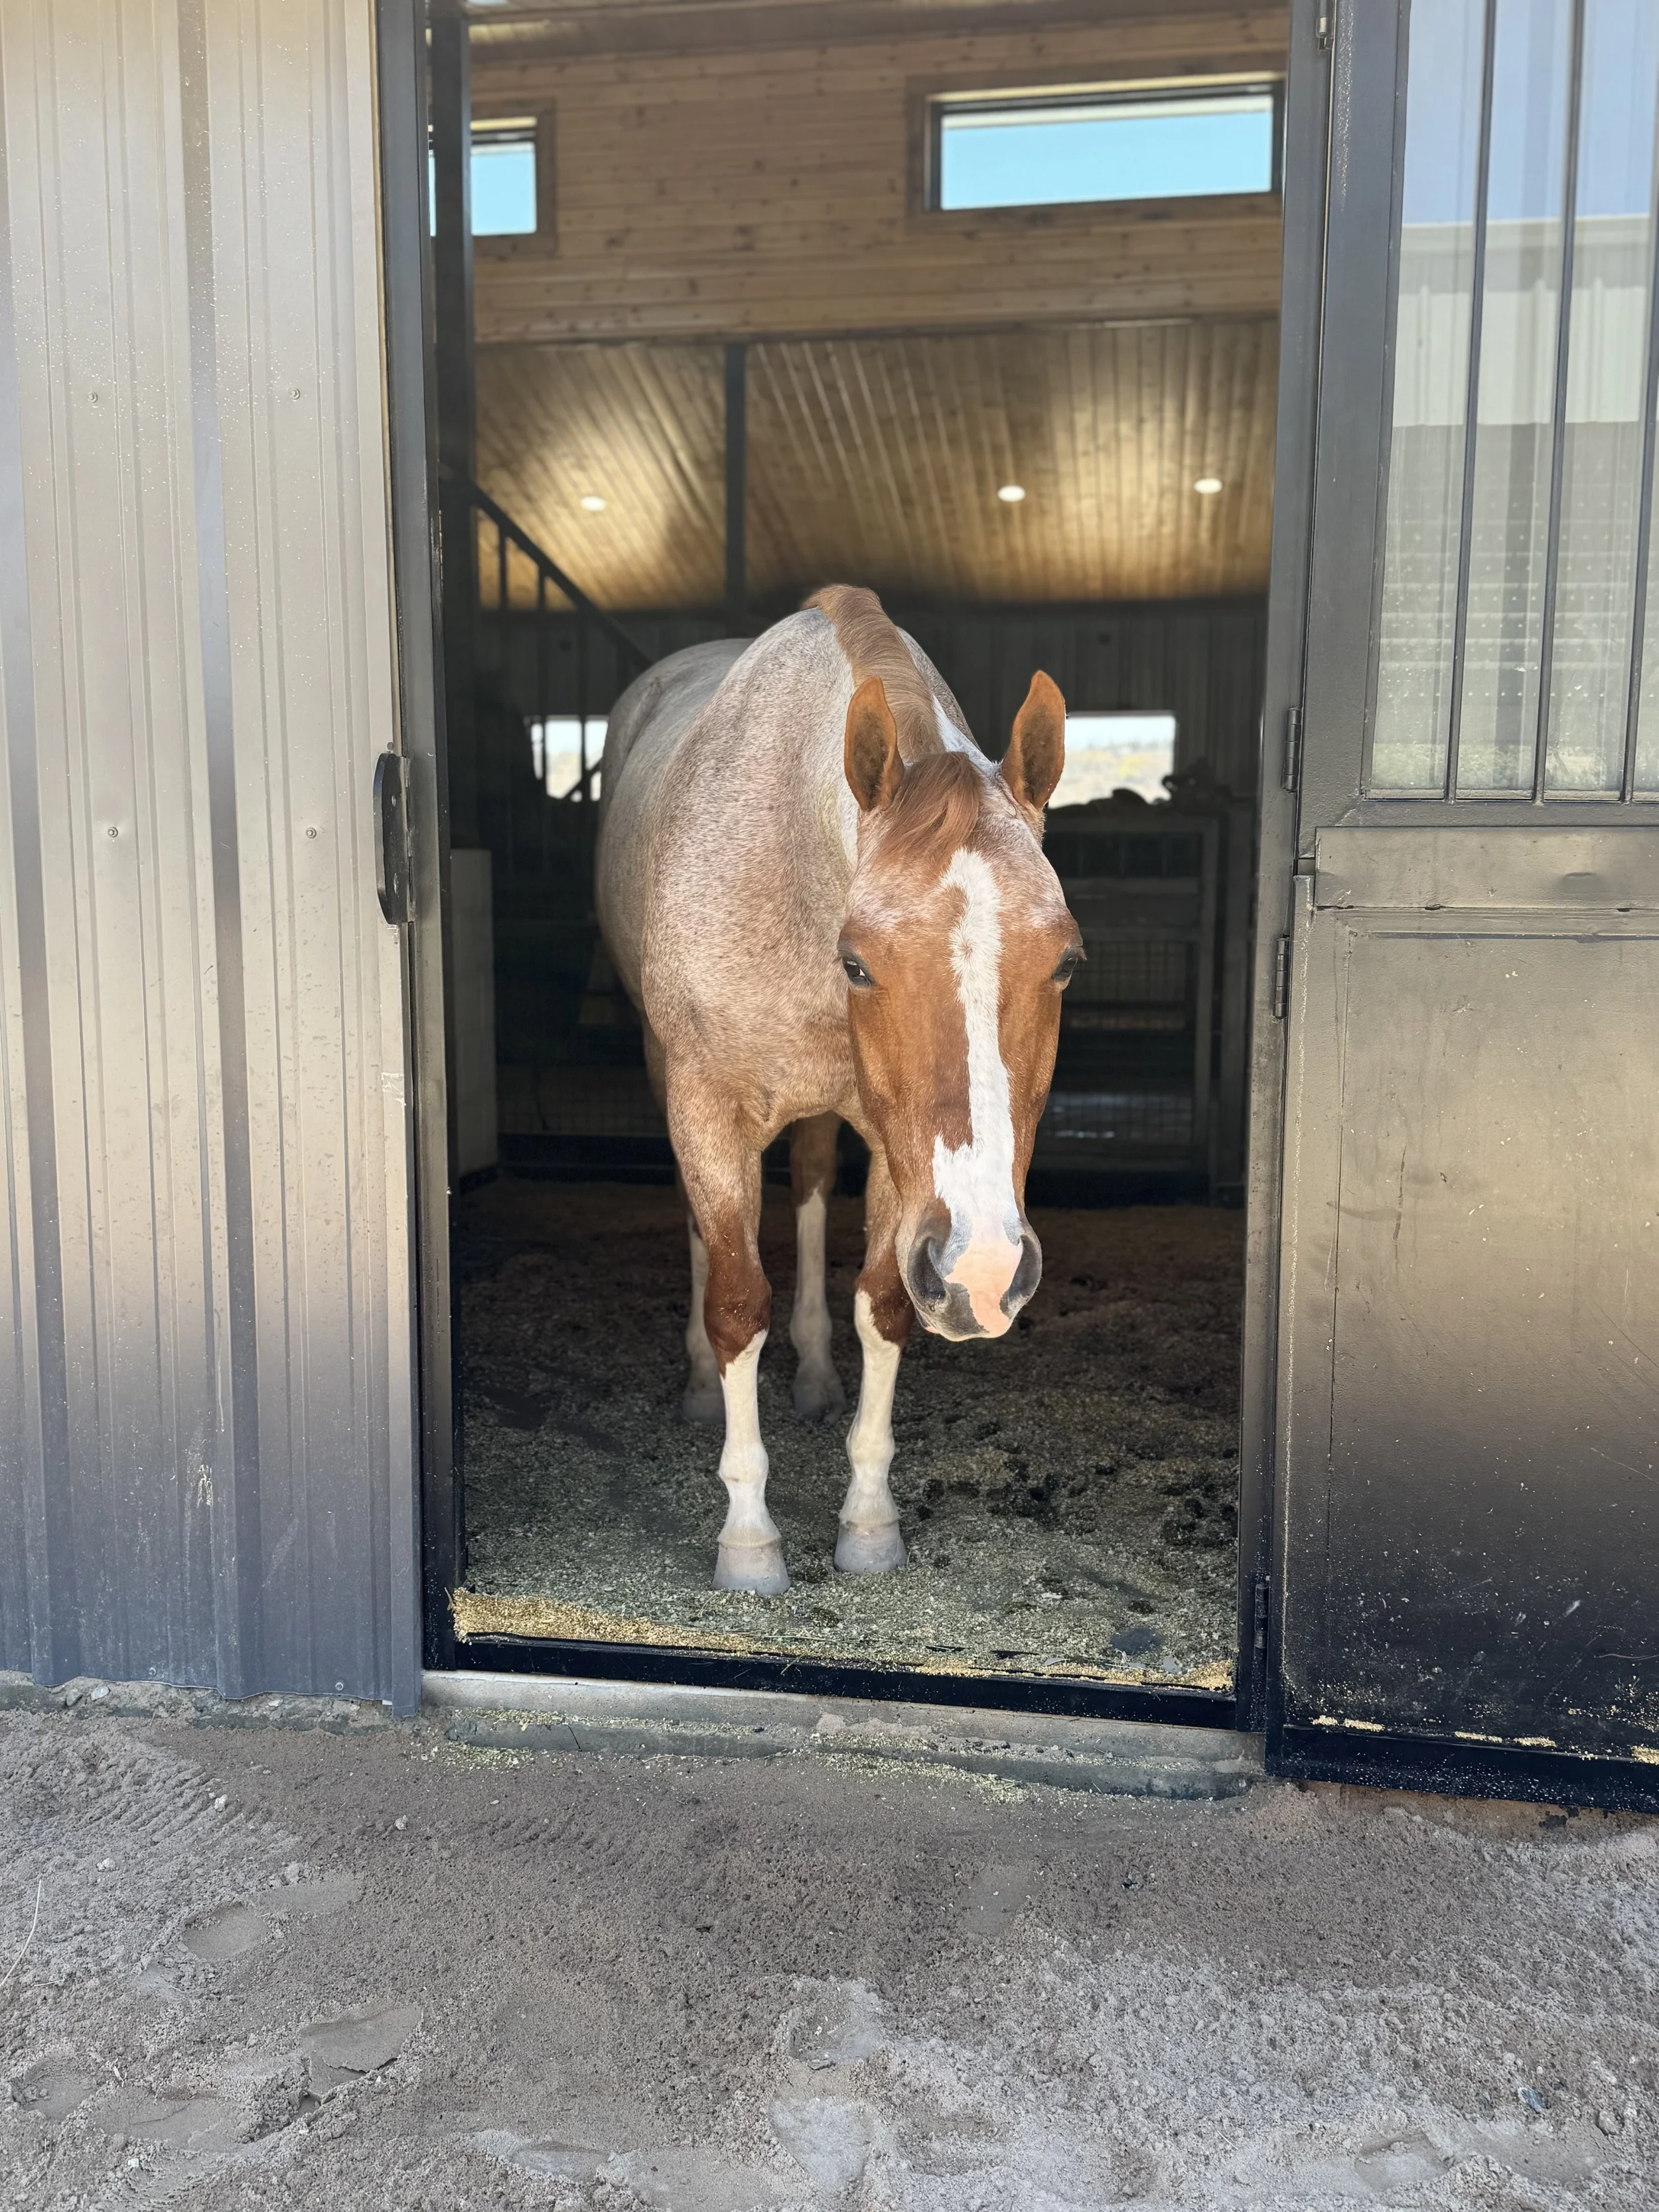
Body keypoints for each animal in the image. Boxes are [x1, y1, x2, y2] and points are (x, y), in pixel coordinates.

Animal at [594, 586, 1080, 1595]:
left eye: (1065, 962)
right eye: (857, 963)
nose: (986, 1274)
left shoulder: (901, 1157)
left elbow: (883, 1303)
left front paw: (868, 1523)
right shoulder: (707, 1108)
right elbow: (737, 1303)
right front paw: (748, 1539)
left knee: (814, 1187)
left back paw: (816, 1377)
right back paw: (699, 1388)